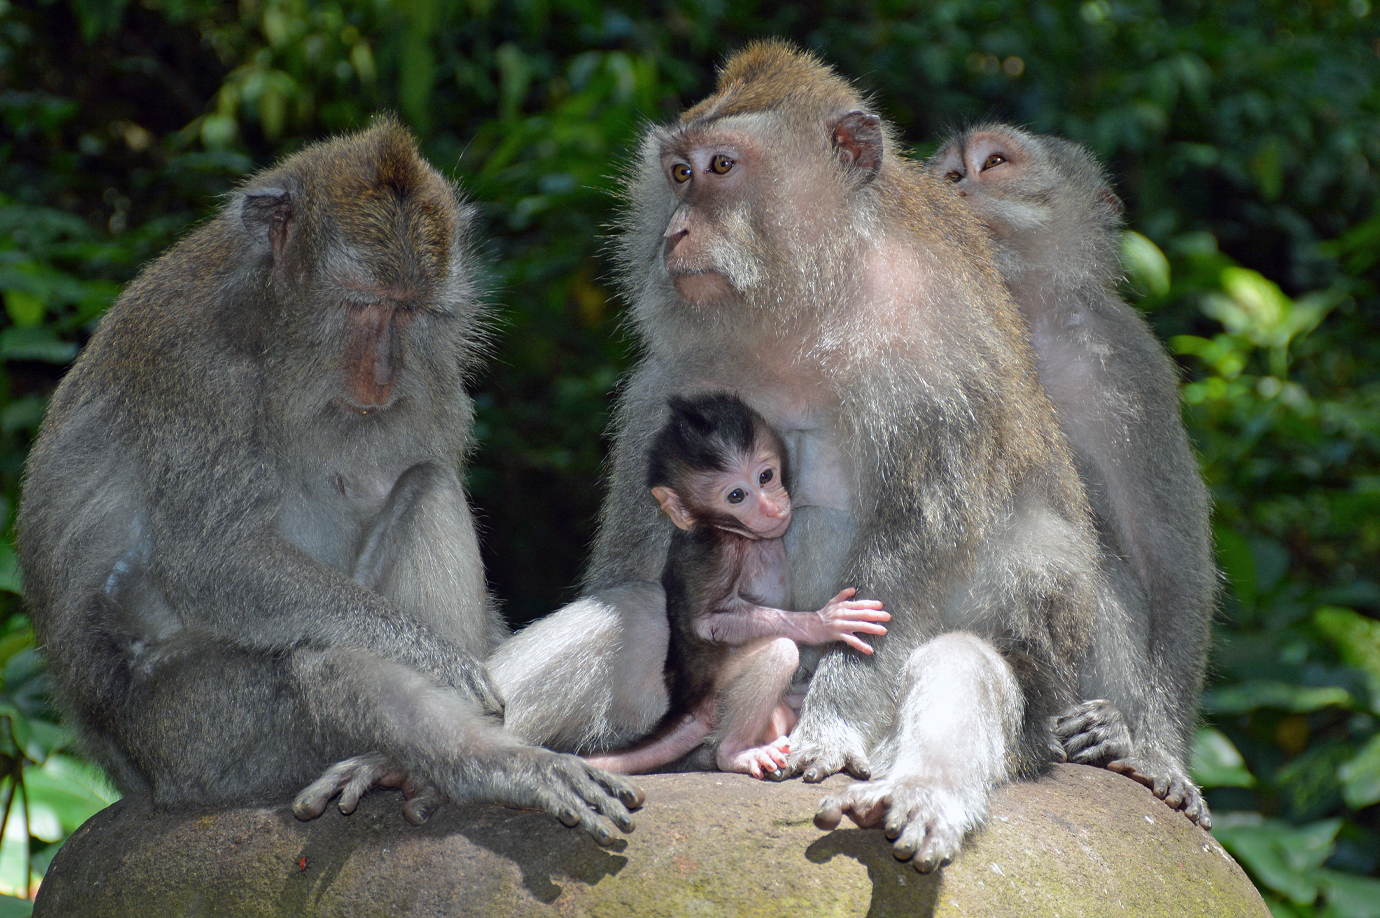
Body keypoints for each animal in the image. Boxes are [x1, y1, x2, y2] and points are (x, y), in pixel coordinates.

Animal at [587, 389, 888, 778]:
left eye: (765, 475)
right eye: (736, 496)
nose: (771, 508)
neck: (737, 534)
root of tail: (688, 705)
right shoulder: (717, 552)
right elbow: (710, 621)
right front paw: (824, 622)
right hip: (719, 695)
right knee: (779, 652)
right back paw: (734, 753)